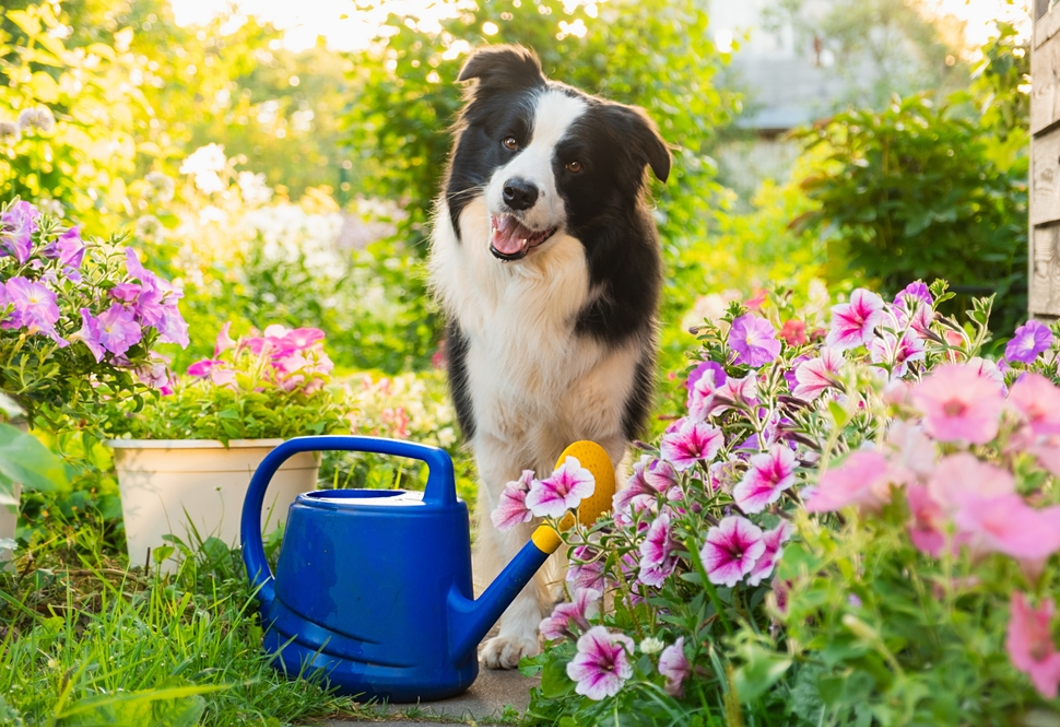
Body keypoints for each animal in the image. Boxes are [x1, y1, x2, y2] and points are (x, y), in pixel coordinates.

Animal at [423, 45, 665, 674]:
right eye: (511, 141)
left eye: (574, 165)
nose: (517, 193)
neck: (534, 283)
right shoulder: (498, 436)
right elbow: (516, 545)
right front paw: (518, 635)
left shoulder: (601, 434)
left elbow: (591, 541)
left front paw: (591, 624)